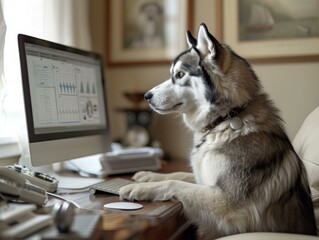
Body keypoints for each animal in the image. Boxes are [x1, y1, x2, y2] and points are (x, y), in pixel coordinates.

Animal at [119, 23, 318, 237]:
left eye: (180, 74)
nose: (146, 96)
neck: (224, 119)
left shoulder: (225, 200)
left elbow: (176, 183)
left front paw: (140, 189)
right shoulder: (205, 181)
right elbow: (179, 175)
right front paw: (148, 176)